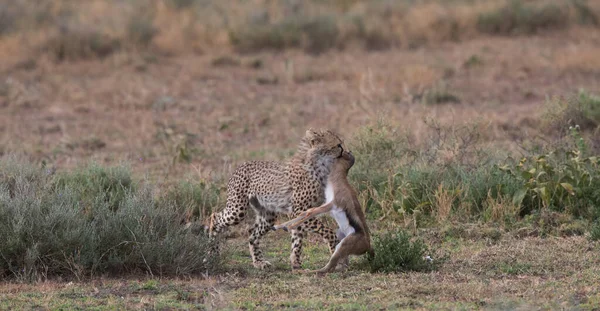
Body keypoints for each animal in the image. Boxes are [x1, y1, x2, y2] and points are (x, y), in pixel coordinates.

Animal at [209, 129, 344, 270]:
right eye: (337, 145)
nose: (344, 151)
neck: (320, 165)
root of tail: (242, 164)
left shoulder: (300, 212)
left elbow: (297, 238)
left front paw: (296, 264)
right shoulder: (298, 211)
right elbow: (328, 232)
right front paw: (335, 251)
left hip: (268, 215)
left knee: (252, 234)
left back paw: (259, 262)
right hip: (237, 210)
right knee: (215, 217)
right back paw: (213, 252)